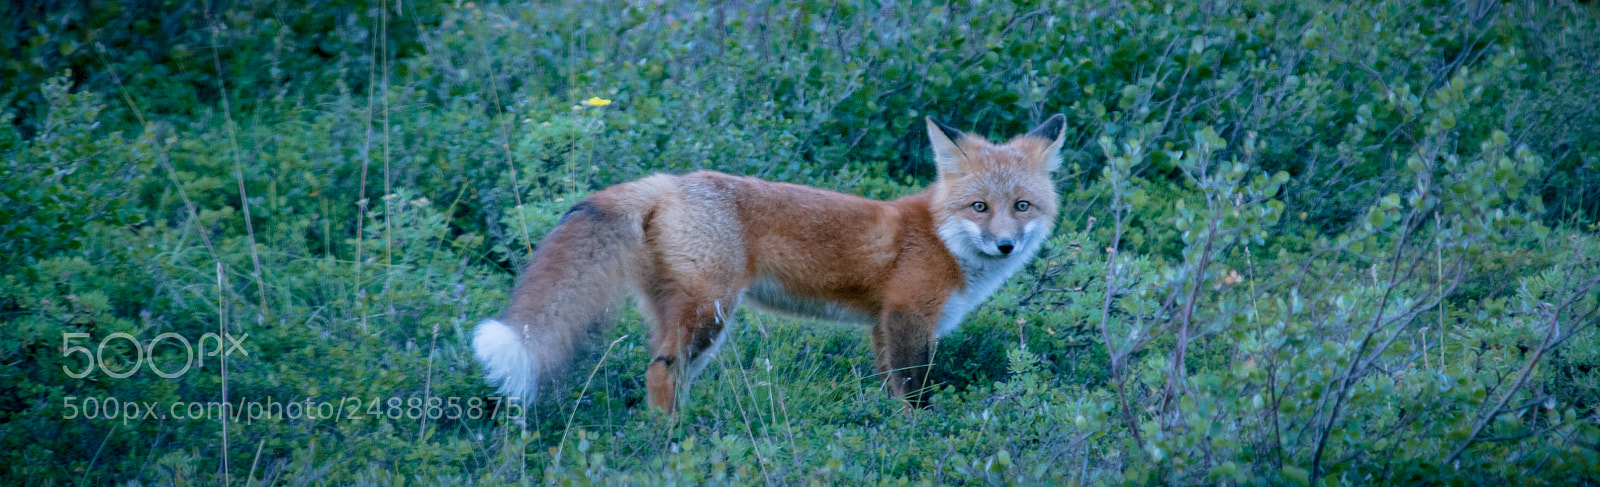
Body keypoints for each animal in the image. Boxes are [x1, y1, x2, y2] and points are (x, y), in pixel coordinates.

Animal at [473, 114, 1066, 413]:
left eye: (1022, 206)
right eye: (979, 207)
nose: (1006, 246)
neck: (940, 237)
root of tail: (670, 181)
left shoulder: (881, 324)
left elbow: (889, 388)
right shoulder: (906, 316)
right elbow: (914, 391)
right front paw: (918, 435)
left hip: (684, 316)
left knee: (665, 372)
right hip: (710, 313)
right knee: (660, 371)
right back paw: (675, 444)